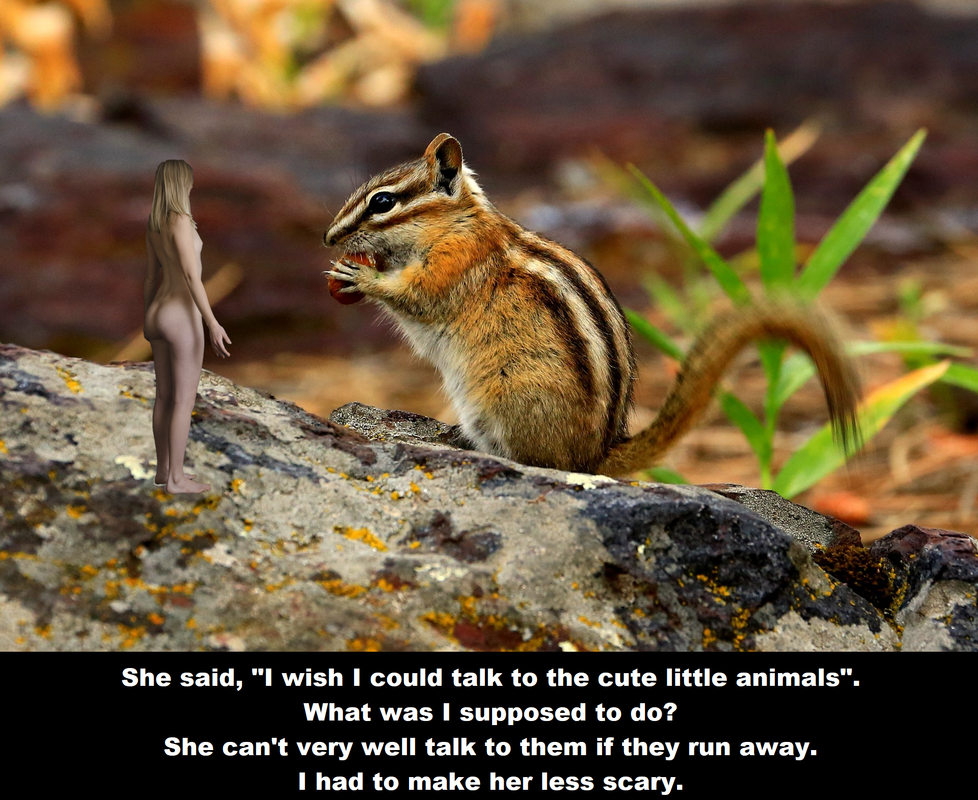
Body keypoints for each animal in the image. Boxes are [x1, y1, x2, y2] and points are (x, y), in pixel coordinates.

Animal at [324, 133, 860, 477]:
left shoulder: (455, 265)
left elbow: (417, 297)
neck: (456, 224)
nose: (329, 237)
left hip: (507, 396)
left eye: (382, 202)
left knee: (538, 462)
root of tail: (596, 455)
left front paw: (360, 276)